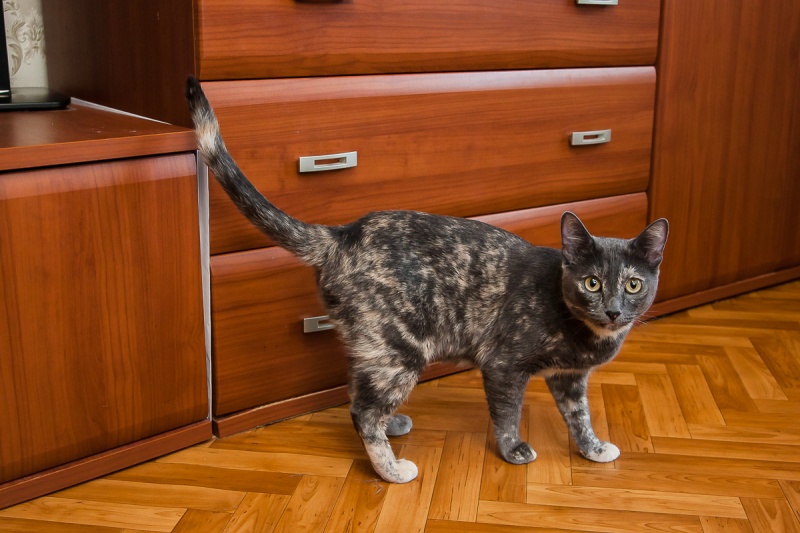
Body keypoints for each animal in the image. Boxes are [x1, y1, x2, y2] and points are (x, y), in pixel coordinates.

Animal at [185, 76, 668, 484]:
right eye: (592, 282)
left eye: (632, 285)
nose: (613, 310)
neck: (584, 331)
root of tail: (341, 234)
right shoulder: (504, 365)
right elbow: (508, 414)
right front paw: (513, 450)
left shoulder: (569, 378)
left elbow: (579, 415)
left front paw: (592, 448)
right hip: (401, 350)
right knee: (363, 411)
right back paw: (391, 469)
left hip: (375, 348)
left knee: (357, 393)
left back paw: (392, 426)